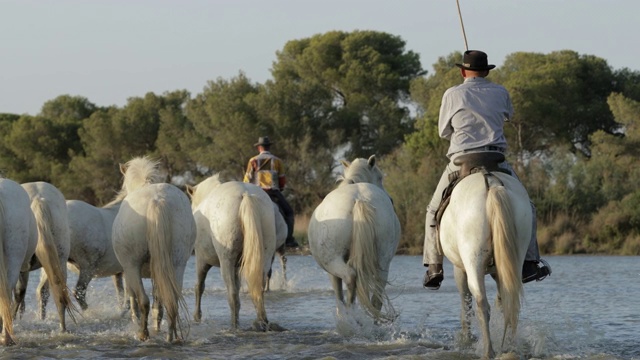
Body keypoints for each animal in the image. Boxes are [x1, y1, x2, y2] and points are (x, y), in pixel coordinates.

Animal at [111, 156, 195, 342]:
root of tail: (157, 200)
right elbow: (159, 303)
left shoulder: (128, 272)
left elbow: (133, 299)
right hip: (177, 264)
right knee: (171, 300)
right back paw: (170, 337)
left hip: (133, 266)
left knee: (143, 300)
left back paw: (143, 334)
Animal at [306, 155, 400, 320]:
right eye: (380, 177)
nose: (391, 200)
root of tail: (359, 199)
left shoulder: (331, 273)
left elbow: (339, 296)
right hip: (382, 261)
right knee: (377, 295)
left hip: (333, 260)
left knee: (350, 277)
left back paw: (350, 316)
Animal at [440, 160, 528, 358]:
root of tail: (493, 184)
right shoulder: (499, 271)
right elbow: (502, 302)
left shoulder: (460, 269)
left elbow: (466, 302)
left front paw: (467, 339)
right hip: (515, 260)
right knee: (511, 303)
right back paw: (511, 347)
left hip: (474, 263)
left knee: (481, 303)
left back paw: (488, 350)